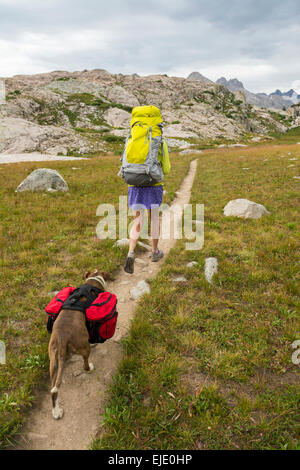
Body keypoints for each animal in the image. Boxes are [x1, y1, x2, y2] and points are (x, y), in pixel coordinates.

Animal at [48, 270, 110, 420]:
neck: (92, 280)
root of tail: (62, 339)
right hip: (83, 347)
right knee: (85, 365)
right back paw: (90, 367)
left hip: (53, 360)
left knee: (53, 389)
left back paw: (56, 412)